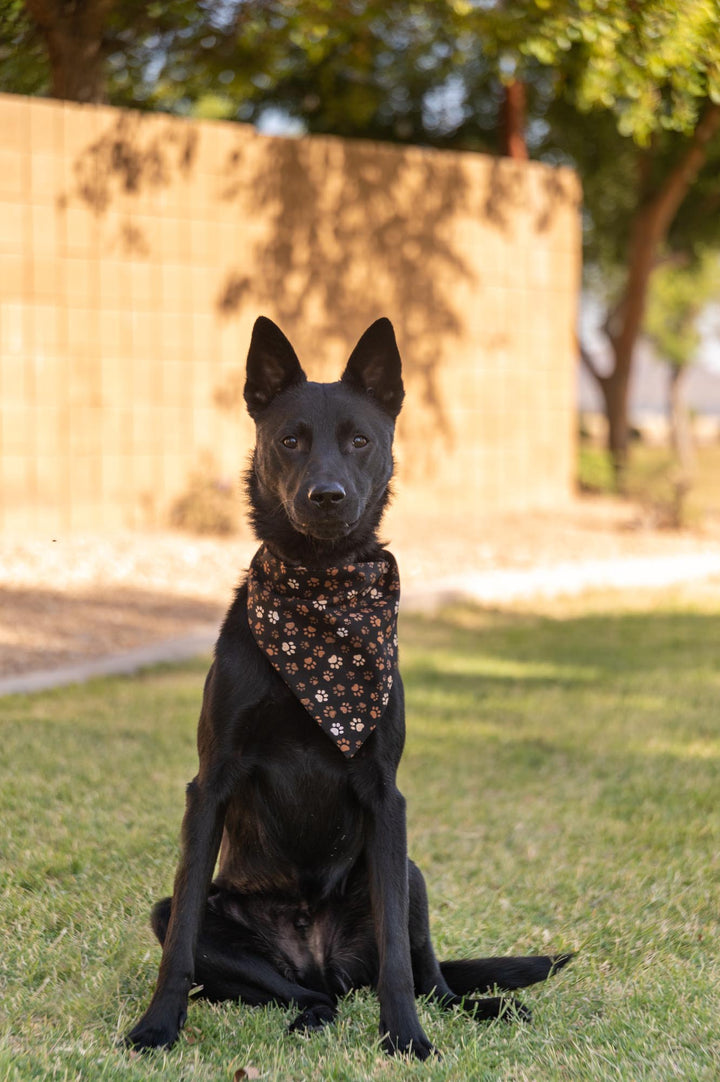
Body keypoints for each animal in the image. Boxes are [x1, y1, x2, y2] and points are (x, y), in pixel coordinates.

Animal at [126, 315, 571, 1056]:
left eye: (360, 440)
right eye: (290, 440)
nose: (327, 496)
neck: (322, 590)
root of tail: (320, 957)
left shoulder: (386, 794)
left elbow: (397, 960)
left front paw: (407, 1038)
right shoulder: (209, 784)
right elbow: (182, 935)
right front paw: (158, 1025)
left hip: (412, 873)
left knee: (430, 979)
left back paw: (481, 1008)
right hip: (235, 935)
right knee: (300, 990)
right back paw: (309, 1014)